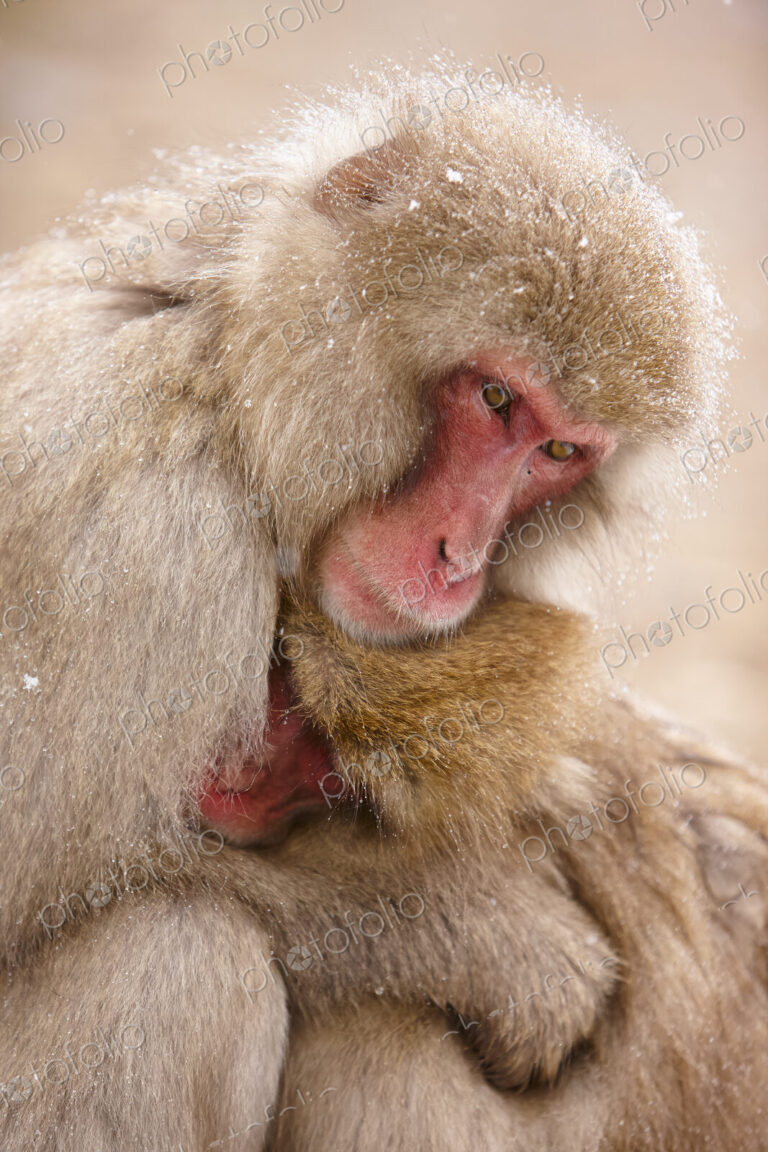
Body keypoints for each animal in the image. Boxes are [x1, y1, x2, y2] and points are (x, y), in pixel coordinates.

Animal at [0, 54, 761, 1151]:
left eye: (558, 451)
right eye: (495, 399)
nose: (457, 555)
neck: (228, 374)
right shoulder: (150, 544)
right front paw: (500, 944)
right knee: (183, 955)